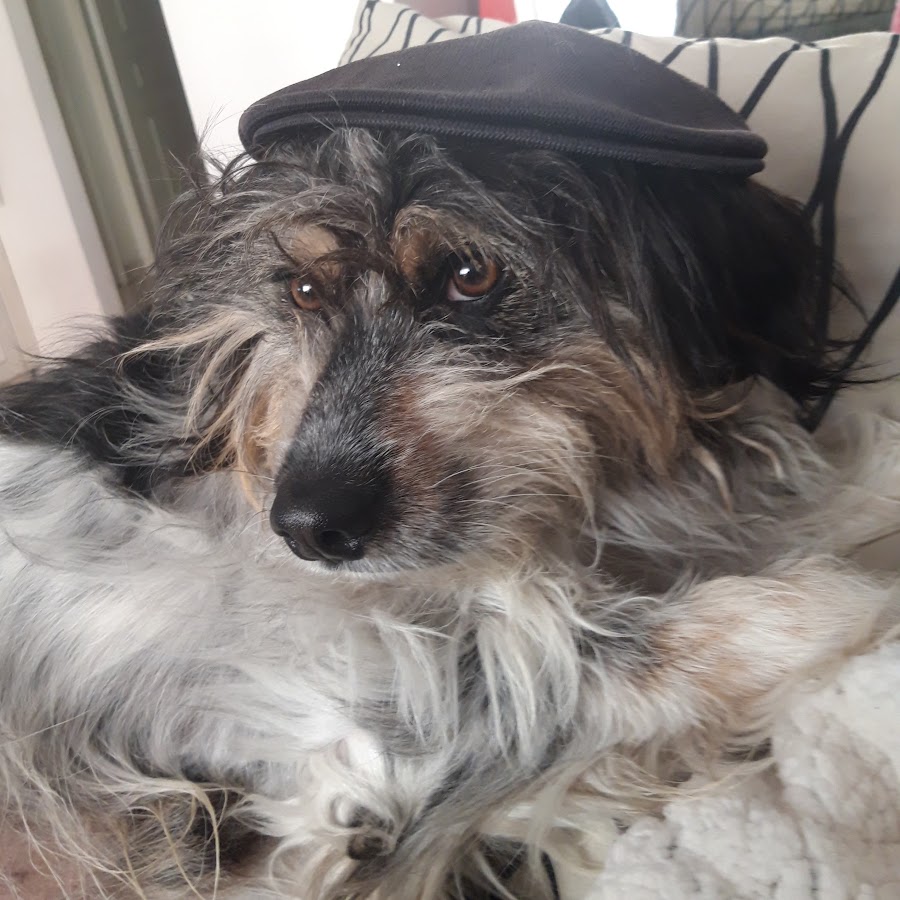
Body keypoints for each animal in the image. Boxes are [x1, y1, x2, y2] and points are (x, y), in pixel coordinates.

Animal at [0, 127, 898, 899]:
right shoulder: (369, 713)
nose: (304, 527)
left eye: (472, 275)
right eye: (304, 290)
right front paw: (844, 605)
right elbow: (609, 650)